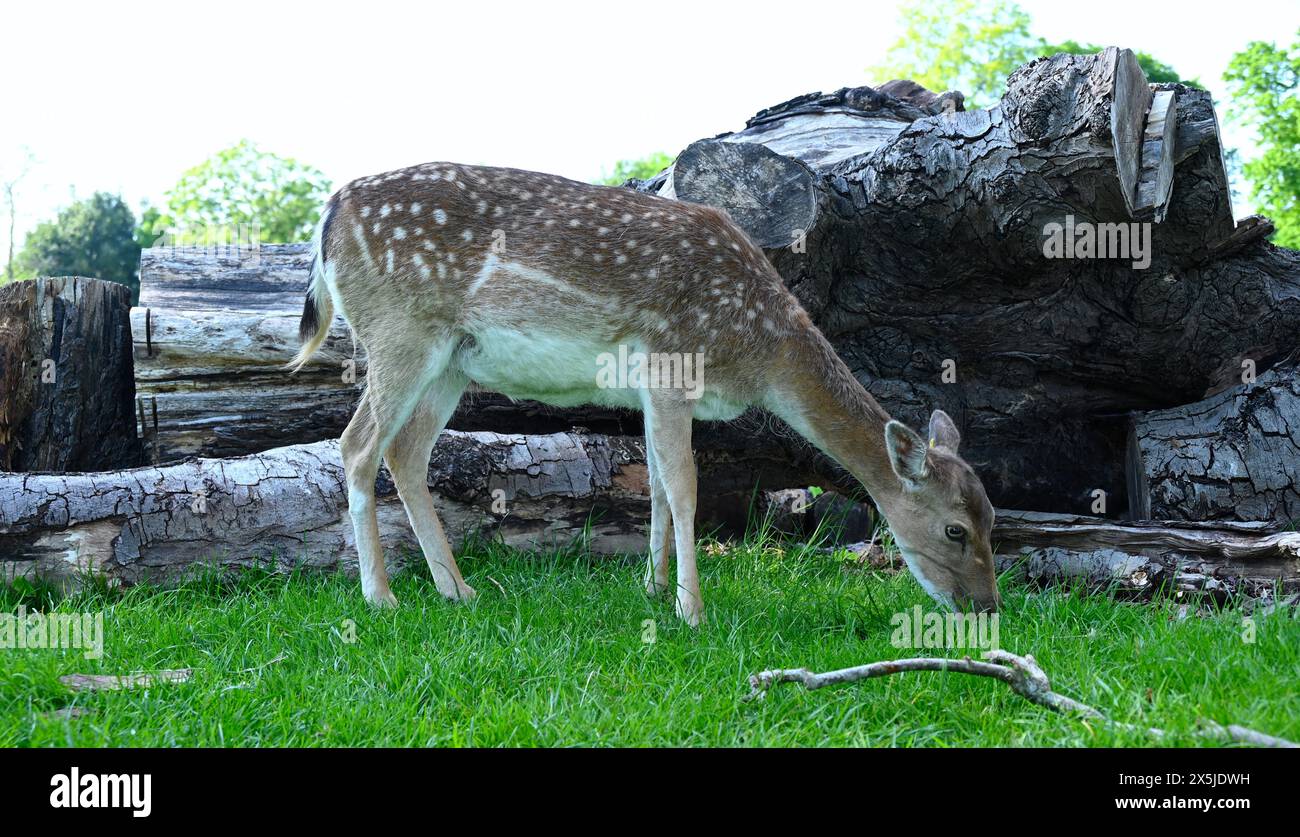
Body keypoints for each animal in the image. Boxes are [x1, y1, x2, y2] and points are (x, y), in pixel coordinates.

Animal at [290, 161, 1000, 627]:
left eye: (994, 516)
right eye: (956, 529)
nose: (989, 606)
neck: (757, 349)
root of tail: (327, 215)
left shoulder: (647, 388)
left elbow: (655, 480)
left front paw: (655, 590)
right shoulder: (669, 365)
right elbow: (683, 484)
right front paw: (692, 609)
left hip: (453, 362)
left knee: (405, 452)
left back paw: (457, 592)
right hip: (398, 331)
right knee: (357, 447)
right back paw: (381, 598)